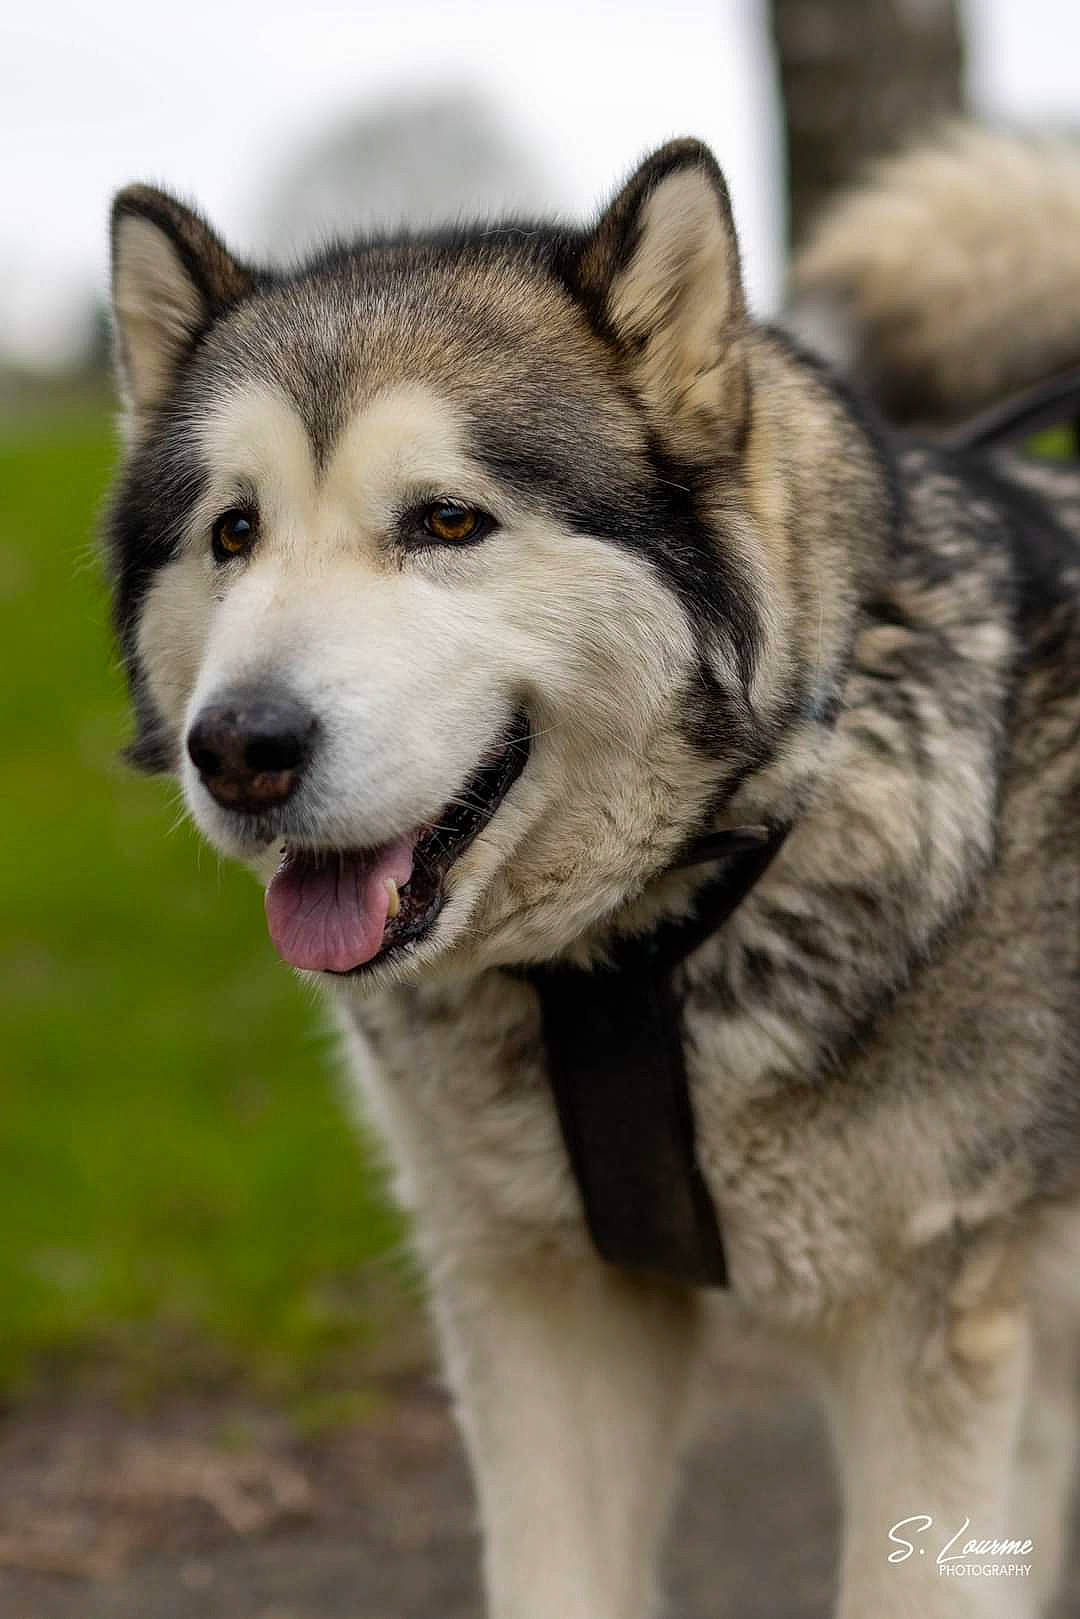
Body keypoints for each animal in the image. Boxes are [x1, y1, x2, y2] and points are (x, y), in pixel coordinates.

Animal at [104, 128, 1080, 1618]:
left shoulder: (929, 1335)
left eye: (447, 521)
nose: (241, 749)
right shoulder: (539, 1304)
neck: (634, 957)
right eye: (233, 532)